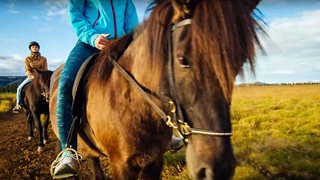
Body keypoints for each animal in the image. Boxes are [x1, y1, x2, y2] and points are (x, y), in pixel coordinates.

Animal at [49, 0, 260, 179]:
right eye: (182, 59)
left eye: (239, 62)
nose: (217, 169)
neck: (132, 102)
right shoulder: (122, 165)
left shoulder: (155, 160)